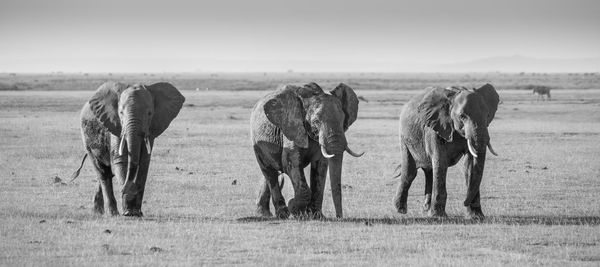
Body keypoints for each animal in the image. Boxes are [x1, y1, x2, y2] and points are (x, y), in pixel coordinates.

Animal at [70, 81, 184, 218]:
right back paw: (112, 213)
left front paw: (136, 213)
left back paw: (99, 212)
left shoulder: (150, 128)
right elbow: (121, 160)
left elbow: (144, 162)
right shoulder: (115, 124)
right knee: (103, 172)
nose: (125, 189)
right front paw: (128, 213)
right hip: (87, 138)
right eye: (121, 113)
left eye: (149, 113)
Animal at [251, 84, 364, 220]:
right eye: (316, 122)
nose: (339, 217)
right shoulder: (292, 127)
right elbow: (290, 163)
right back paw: (282, 214)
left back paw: (265, 213)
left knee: (272, 172)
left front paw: (317, 216)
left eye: (343, 120)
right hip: (256, 141)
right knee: (269, 172)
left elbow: (321, 166)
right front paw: (295, 209)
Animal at [394, 84, 502, 220]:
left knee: (429, 171)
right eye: (462, 116)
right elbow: (440, 162)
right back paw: (401, 210)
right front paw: (439, 216)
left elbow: (470, 165)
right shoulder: (435, 127)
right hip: (404, 137)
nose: (464, 202)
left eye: (488, 115)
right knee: (410, 171)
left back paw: (426, 210)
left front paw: (476, 217)